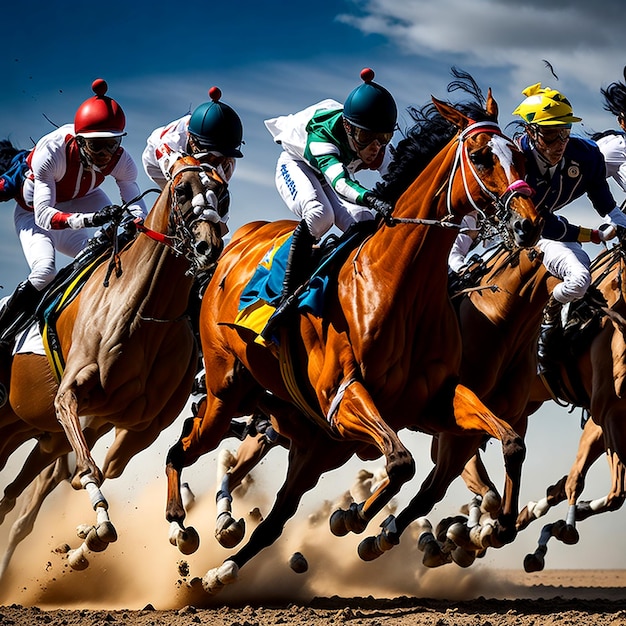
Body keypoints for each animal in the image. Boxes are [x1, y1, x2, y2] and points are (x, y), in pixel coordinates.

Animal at [0, 156, 229, 572]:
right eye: (181, 190)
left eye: (221, 192)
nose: (209, 247)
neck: (142, 311)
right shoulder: (70, 399)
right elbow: (89, 469)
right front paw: (97, 524)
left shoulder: (141, 425)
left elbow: (106, 468)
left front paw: (177, 525)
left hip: (31, 430)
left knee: (12, 493)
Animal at [165, 79, 540, 588]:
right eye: (482, 157)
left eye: (520, 158)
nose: (528, 225)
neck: (397, 281)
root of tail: (230, 247)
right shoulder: (344, 397)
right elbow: (401, 462)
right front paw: (356, 520)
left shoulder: (436, 400)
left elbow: (509, 440)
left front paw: (499, 523)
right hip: (229, 392)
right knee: (180, 449)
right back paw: (180, 526)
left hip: (314, 444)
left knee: (273, 518)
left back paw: (221, 569)